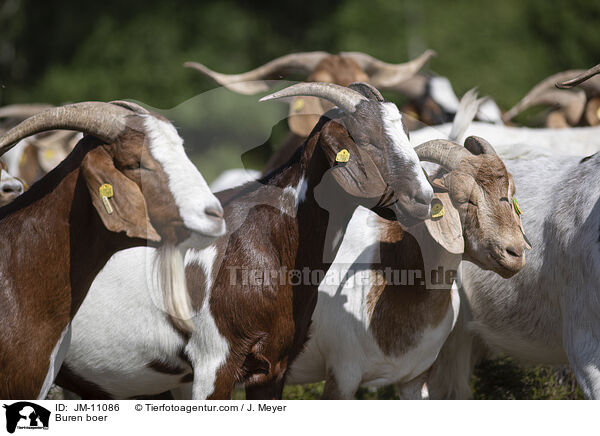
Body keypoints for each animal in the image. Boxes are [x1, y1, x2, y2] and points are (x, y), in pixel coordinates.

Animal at [58, 80, 434, 400]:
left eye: (405, 135)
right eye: (367, 140)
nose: (424, 198)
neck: (267, 243)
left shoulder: (274, 367)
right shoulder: (213, 364)